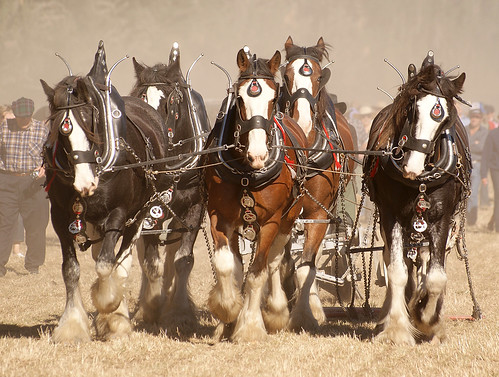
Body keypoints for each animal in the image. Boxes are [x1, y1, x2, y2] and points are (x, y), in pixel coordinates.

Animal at [40, 40, 172, 340]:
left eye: (92, 124)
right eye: (60, 131)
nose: (85, 184)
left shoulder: (118, 214)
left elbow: (106, 265)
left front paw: (110, 308)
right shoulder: (60, 217)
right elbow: (71, 270)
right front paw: (72, 326)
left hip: (140, 214)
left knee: (120, 262)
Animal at [129, 44, 211, 332]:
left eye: (171, 101)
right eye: (139, 99)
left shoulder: (195, 207)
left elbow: (182, 259)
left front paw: (179, 312)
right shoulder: (150, 209)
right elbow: (150, 262)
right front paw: (151, 307)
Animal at [203, 48, 308, 340]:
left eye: (273, 99)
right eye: (239, 99)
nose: (258, 155)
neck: (246, 173)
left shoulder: (270, 222)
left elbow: (258, 273)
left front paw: (249, 326)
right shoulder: (219, 217)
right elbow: (227, 264)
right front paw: (227, 309)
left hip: (287, 220)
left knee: (273, 262)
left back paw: (275, 311)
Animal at [282, 36, 356, 330]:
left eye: (317, 76)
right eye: (285, 75)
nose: (300, 122)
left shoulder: (318, 212)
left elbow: (306, 264)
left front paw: (307, 313)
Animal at [364, 50, 472, 344]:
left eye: (446, 119)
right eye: (411, 108)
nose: (412, 166)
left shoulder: (441, 218)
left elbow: (435, 276)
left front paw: (427, 318)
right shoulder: (391, 215)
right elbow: (397, 271)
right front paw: (396, 329)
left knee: (424, 262)